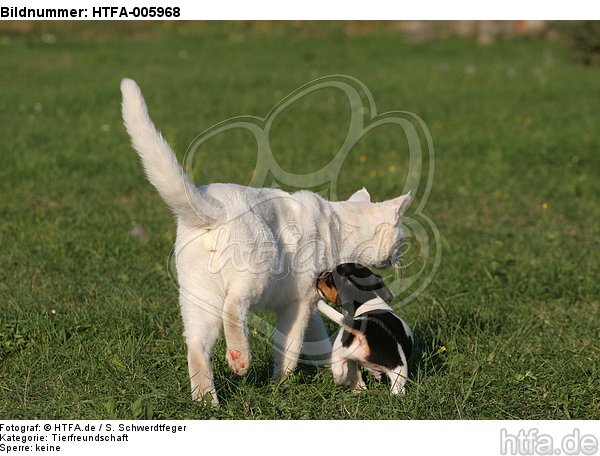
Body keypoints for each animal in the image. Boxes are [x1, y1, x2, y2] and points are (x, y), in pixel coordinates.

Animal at [318, 264, 412, 396]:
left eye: (330, 278)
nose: (320, 274)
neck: (369, 300)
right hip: (398, 369)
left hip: (339, 353)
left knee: (339, 374)